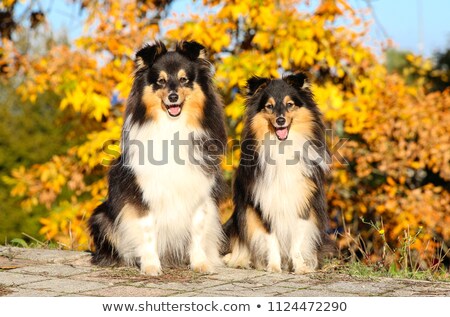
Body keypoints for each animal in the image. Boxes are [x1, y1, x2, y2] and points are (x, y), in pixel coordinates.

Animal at [88, 40, 227, 274]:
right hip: (101, 216)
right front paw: (151, 265)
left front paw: (200, 263)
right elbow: (147, 231)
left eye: (184, 79)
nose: (173, 97)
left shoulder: (200, 190)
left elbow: (197, 230)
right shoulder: (142, 193)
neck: (172, 126)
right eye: (160, 81)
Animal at [224, 73, 332, 272]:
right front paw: (274, 267)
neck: (282, 148)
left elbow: (297, 240)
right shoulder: (263, 202)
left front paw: (300, 267)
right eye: (269, 106)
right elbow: (270, 238)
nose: (280, 120)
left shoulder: (302, 202)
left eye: (290, 104)